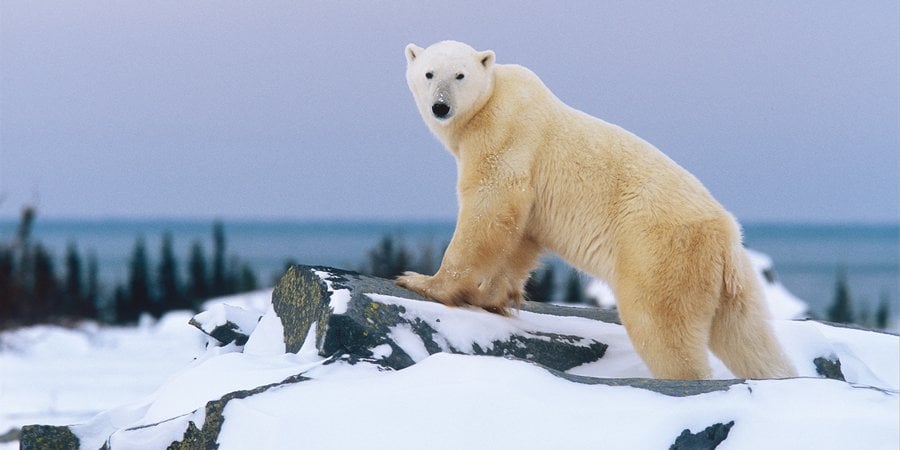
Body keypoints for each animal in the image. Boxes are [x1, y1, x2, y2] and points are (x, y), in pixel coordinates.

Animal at [396, 40, 797, 380]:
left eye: (459, 75)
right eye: (429, 73)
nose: (441, 106)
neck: (492, 100)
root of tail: (726, 234)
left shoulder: (505, 135)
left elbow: (490, 208)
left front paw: (424, 282)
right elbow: (522, 236)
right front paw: (492, 297)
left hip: (660, 253)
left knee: (660, 326)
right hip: (733, 280)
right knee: (749, 336)